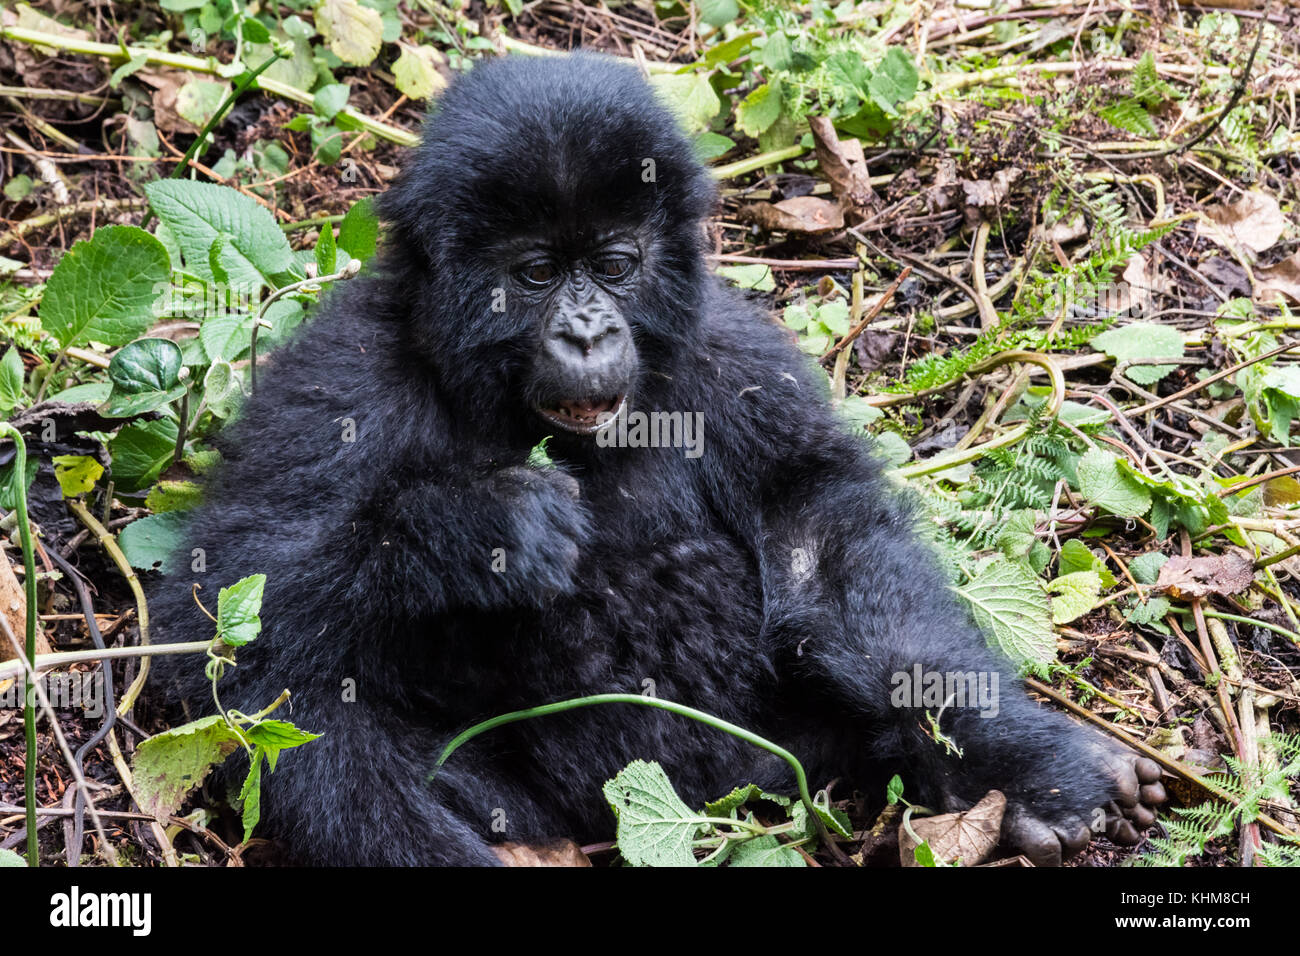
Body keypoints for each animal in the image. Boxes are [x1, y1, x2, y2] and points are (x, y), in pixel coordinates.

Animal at [147, 55, 1164, 868]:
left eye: (612, 263)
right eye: (535, 274)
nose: (588, 332)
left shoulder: (731, 357)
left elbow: (823, 543)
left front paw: (1016, 760)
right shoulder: (344, 376)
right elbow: (221, 606)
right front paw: (475, 530)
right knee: (306, 717)